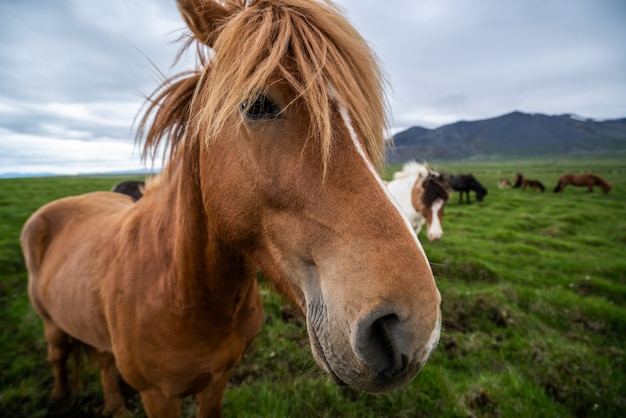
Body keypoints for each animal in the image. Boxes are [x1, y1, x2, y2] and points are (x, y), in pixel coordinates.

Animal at [20, 0, 438, 418]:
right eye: (257, 105)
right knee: (58, 356)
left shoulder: (219, 378)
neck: (184, 290)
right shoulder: (158, 395)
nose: (412, 327)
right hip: (51, 324)